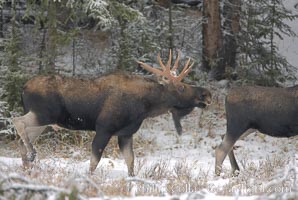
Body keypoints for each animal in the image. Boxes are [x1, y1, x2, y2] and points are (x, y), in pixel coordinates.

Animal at [12, 50, 212, 176]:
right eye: (181, 87)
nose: (207, 94)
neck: (145, 108)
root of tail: (23, 88)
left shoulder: (126, 133)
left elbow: (131, 161)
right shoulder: (104, 128)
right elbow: (94, 160)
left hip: (43, 121)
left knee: (21, 138)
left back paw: (27, 166)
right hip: (43, 114)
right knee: (17, 121)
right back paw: (32, 155)